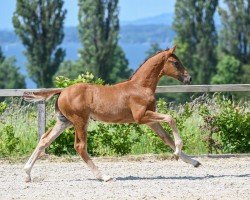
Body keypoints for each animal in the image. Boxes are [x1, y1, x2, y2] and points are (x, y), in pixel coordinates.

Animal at [23, 46, 201, 182]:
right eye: (176, 63)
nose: (189, 78)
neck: (140, 87)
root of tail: (62, 91)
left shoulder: (151, 120)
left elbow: (166, 138)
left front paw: (193, 161)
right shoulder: (141, 117)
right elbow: (171, 119)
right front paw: (177, 152)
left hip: (64, 121)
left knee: (44, 140)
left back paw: (27, 174)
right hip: (80, 121)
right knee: (80, 146)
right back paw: (104, 176)